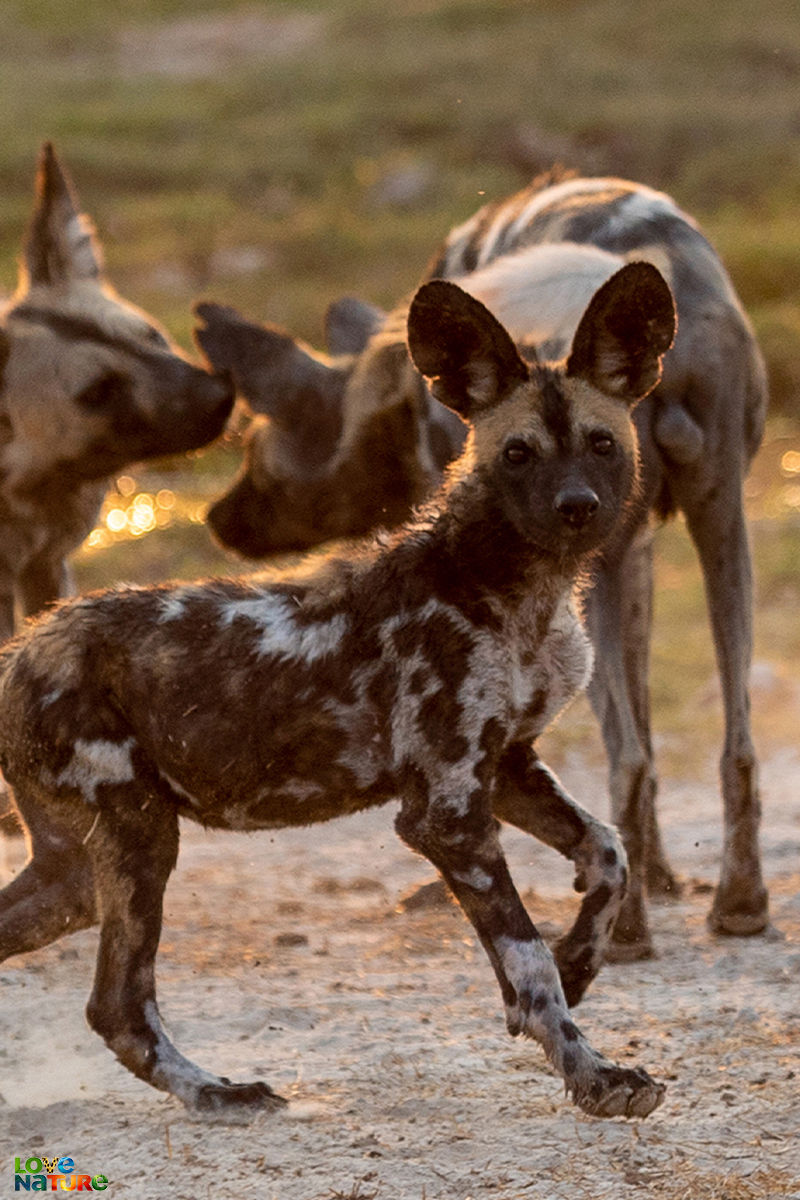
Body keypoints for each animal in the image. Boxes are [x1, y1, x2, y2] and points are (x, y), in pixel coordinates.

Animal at [0, 262, 676, 1113]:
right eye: (519, 454)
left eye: (601, 444)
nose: (577, 507)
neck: (511, 586)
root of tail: (18, 652)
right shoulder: (446, 813)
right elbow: (528, 966)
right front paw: (593, 1073)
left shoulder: (506, 768)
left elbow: (609, 854)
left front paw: (584, 961)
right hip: (139, 838)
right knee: (120, 1004)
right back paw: (217, 1094)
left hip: (74, 876)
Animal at [195, 171, 767, 955]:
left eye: (253, 447)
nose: (216, 520)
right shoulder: (636, 557)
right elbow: (652, 726)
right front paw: (663, 875)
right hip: (720, 528)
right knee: (732, 745)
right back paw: (740, 905)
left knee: (628, 757)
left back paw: (627, 935)